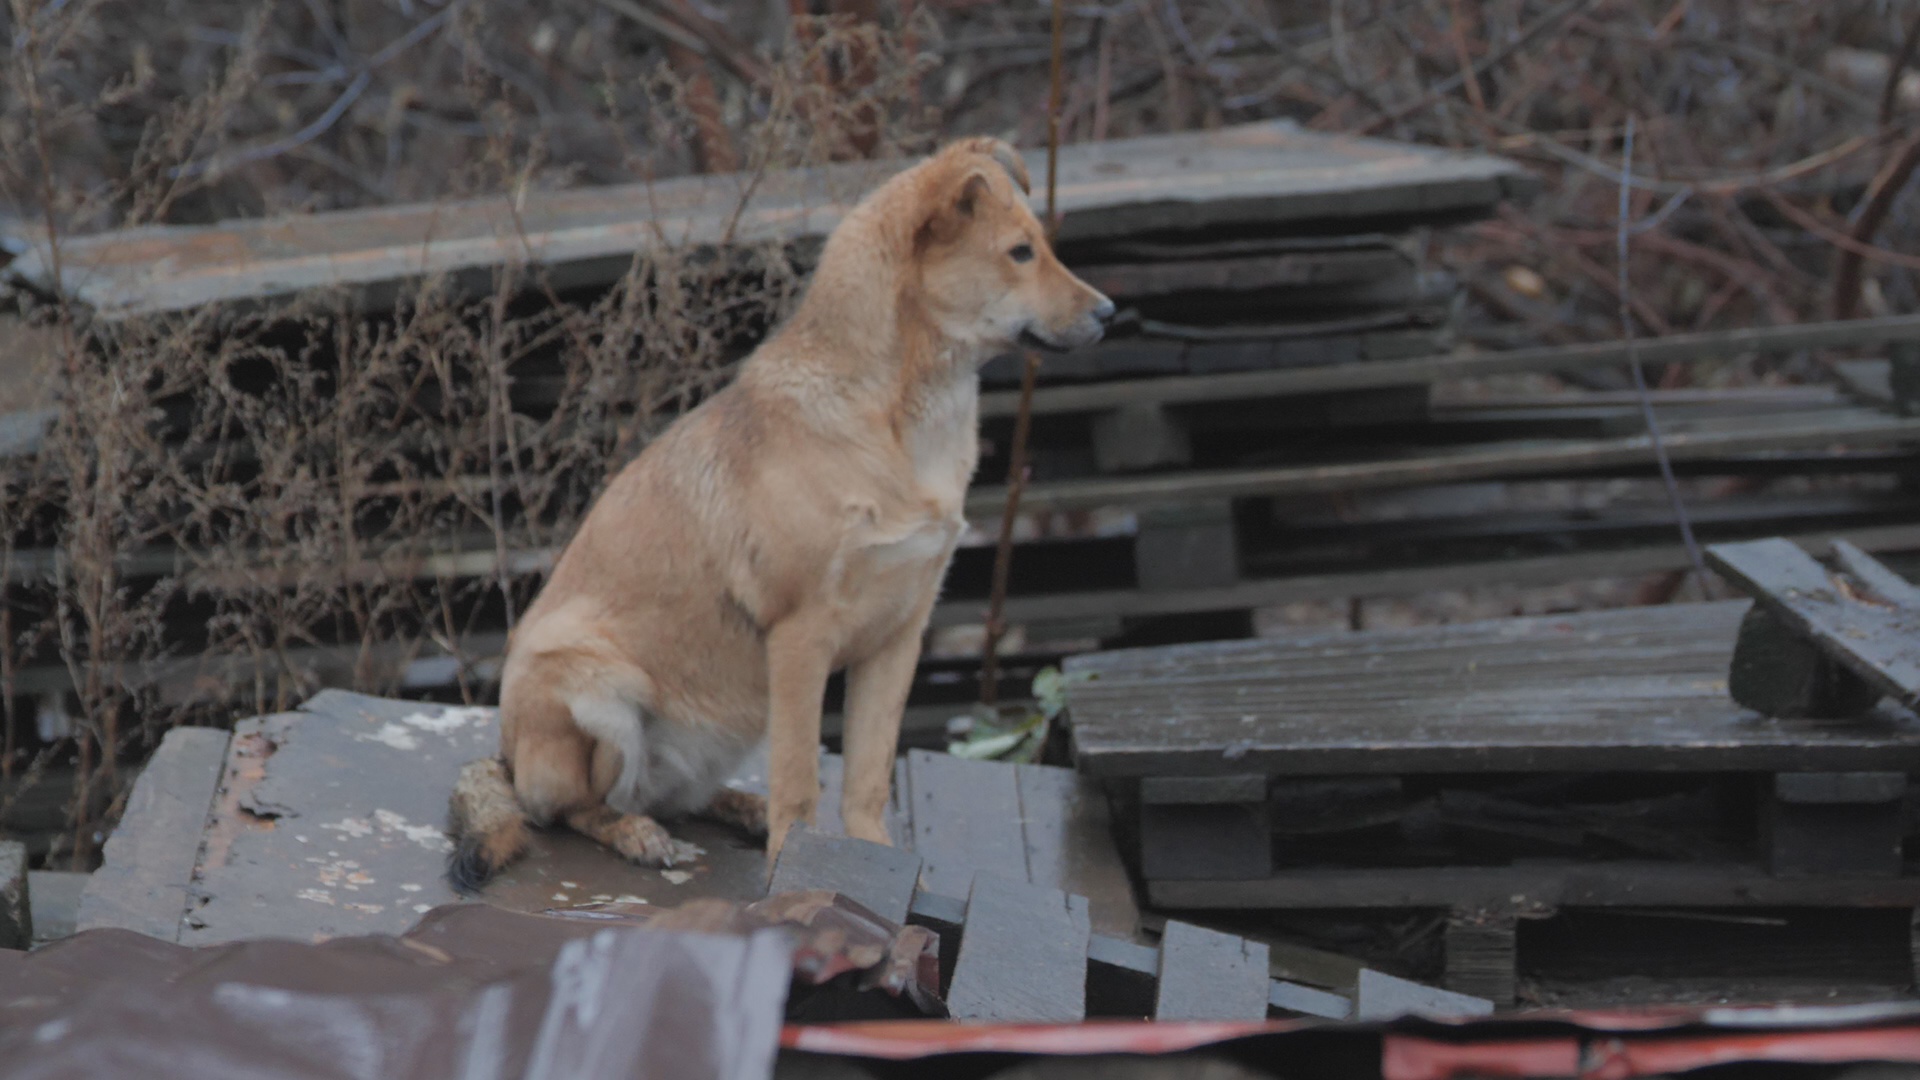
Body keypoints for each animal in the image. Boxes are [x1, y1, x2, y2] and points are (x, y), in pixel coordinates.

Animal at [447, 138, 1113, 887]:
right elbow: (800, 776)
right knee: (577, 808)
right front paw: (798, 867)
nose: (1111, 312)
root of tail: (504, 757)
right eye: (1020, 253)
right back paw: (637, 834)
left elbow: (866, 776)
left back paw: (740, 808)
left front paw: (870, 858)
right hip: (594, 685)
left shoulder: (898, 638)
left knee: (675, 796)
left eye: (1041, 248)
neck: (898, 417)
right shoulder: (801, 638)